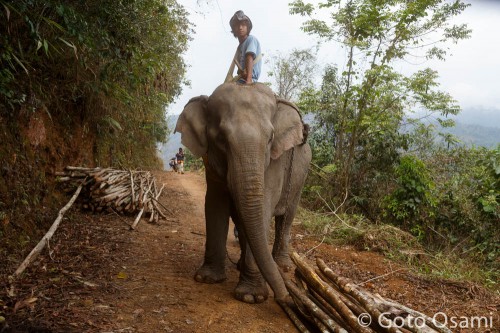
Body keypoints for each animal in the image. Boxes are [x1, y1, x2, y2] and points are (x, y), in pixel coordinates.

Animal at [174, 81, 310, 304]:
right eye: (220, 138)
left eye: (271, 138)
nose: (285, 297)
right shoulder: (210, 161)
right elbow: (214, 204)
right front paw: (207, 279)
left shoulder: (275, 161)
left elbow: (264, 208)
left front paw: (250, 296)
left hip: (301, 176)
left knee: (287, 216)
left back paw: (282, 266)